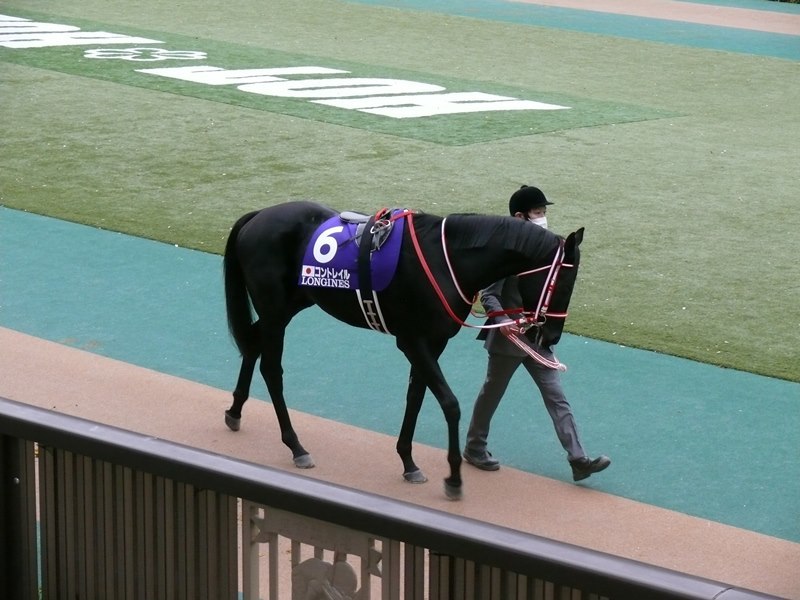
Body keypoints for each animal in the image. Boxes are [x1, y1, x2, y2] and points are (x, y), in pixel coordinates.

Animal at [222, 200, 584, 499]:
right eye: (563, 284)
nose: (550, 337)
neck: (447, 260)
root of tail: (258, 215)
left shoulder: (433, 342)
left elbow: (417, 397)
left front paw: (409, 462)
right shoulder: (412, 340)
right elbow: (449, 403)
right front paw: (453, 478)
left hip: (293, 303)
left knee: (253, 343)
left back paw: (235, 411)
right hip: (274, 307)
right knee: (271, 368)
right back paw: (296, 446)